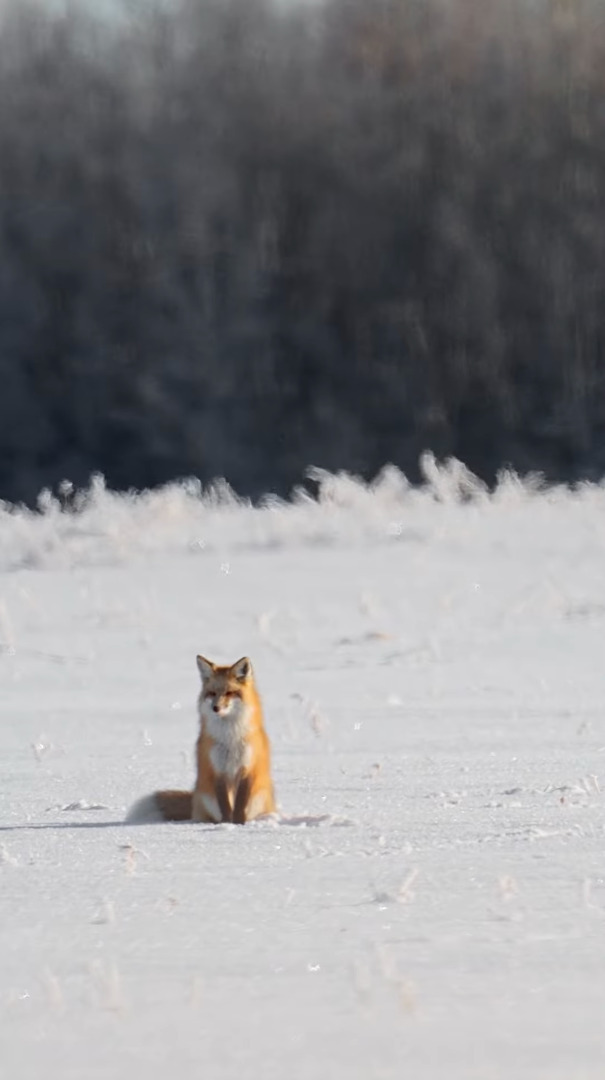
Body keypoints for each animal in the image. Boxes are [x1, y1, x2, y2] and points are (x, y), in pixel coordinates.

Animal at [130, 652, 278, 820]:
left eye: (229, 693)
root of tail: (194, 802)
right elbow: (225, 806)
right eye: (212, 693)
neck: (229, 737)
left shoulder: (247, 768)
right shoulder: (217, 770)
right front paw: (227, 823)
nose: (215, 708)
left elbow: (240, 806)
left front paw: (238, 824)